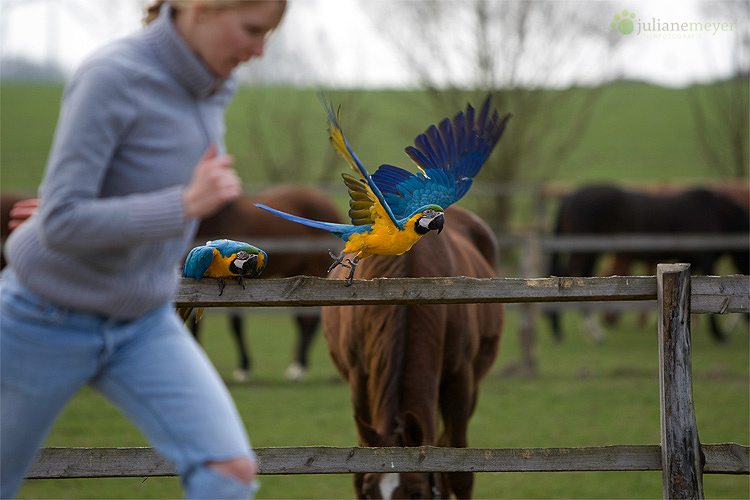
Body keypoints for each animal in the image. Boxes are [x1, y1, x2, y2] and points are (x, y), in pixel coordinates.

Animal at [195, 186, 346, 380]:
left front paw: (244, 368)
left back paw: (299, 366)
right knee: (302, 319)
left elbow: (236, 324)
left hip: (316, 267)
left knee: (311, 319)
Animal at [324, 205, 506, 498]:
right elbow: (359, 470)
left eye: (417, 493)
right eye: (370, 493)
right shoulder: (359, 379)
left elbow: (459, 473)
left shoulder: (460, 381)